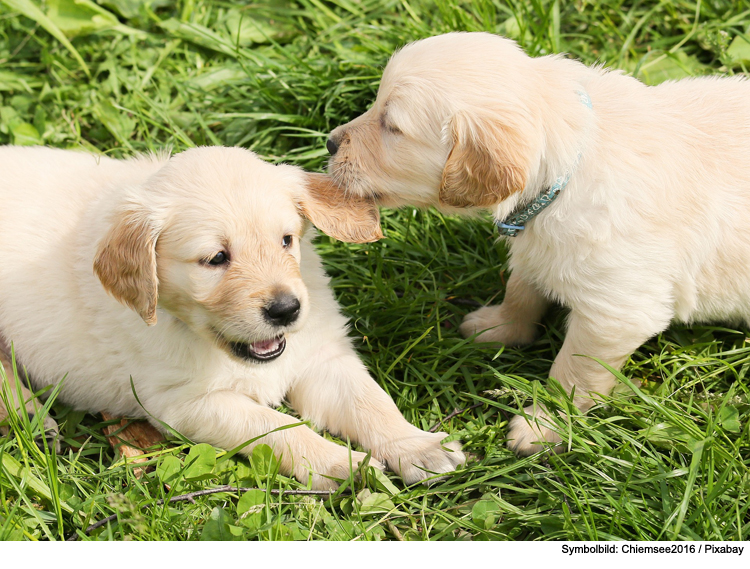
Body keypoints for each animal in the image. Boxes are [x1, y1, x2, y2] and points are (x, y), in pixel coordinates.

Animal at [0, 144, 468, 486]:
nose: (286, 310)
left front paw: (417, 446)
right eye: (215, 259)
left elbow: (371, 402)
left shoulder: (321, 356)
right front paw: (339, 463)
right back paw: (30, 417)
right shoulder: (186, 403)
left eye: (286, 241)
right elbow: (277, 425)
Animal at [326, 31, 750, 454]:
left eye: (392, 126)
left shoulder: (616, 313)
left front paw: (545, 425)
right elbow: (520, 291)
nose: (329, 142)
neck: (566, 172)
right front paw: (499, 328)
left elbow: (573, 374)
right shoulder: (535, 247)